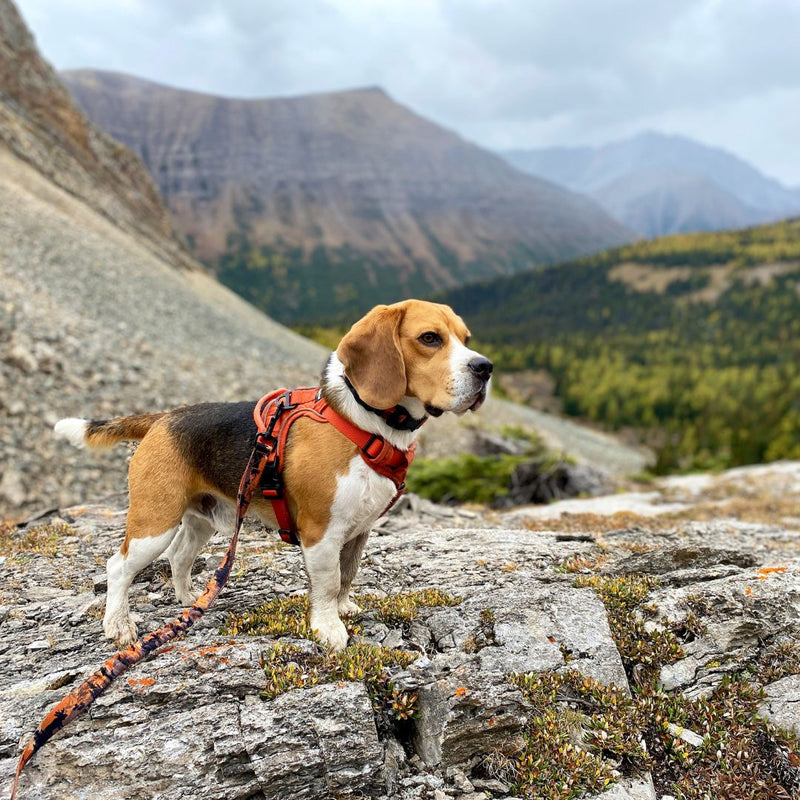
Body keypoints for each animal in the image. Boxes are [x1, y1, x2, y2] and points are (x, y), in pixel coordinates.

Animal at [53, 300, 490, 648]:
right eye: (430, 338)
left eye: (466, 337)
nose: (485, 368)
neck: (368, 424)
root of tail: (162, 418)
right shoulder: (320, 531)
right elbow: (327, 583)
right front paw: (329, 629)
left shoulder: (359, 529)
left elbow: (347, 576)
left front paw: (345, 607)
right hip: (154, 522)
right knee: (117, 567)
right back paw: (119, 626)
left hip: (202, 519)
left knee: (179, 556)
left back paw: (188, 599)